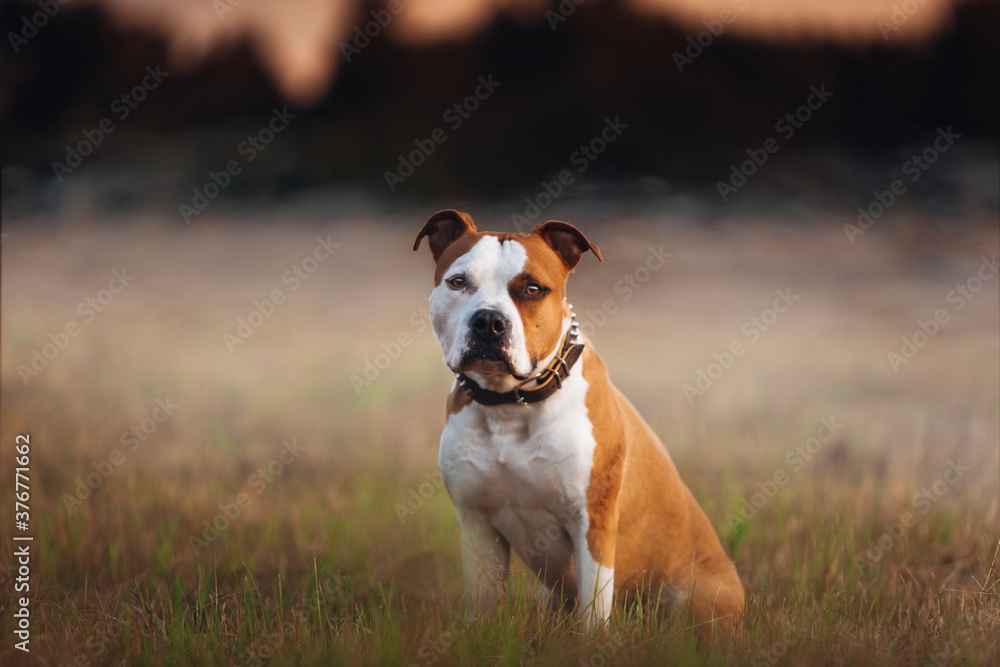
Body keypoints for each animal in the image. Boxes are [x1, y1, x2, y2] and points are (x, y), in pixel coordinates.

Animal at [412, 211, 744, 640]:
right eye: (457, 282)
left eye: (533, 288)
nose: (488, 321)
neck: (509, 407)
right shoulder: (477, 525)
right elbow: (484, 605)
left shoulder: (592, 523)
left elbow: (594, 610)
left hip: (696, 594)